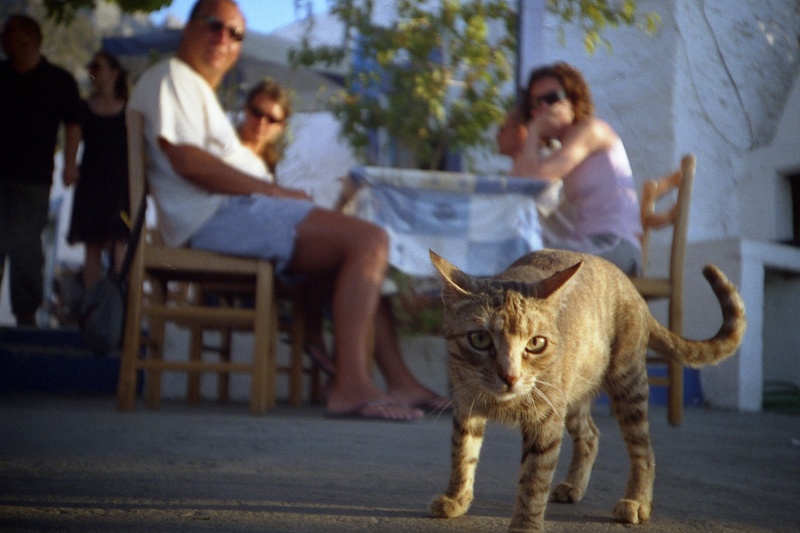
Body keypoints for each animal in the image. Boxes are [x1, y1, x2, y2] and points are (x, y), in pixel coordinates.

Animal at [428, 247, 748, 528]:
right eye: (480, 339)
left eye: (536, 343)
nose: (510, 376)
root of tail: (633, 289)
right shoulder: (465, 405)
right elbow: (462, 454)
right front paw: (457, 498)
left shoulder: (546, 419)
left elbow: (534, 480)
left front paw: (525, 525)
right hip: (573, 393)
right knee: (591, 435)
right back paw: (574, 484)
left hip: (626, 383)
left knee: (643, 450)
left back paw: (636, 501)